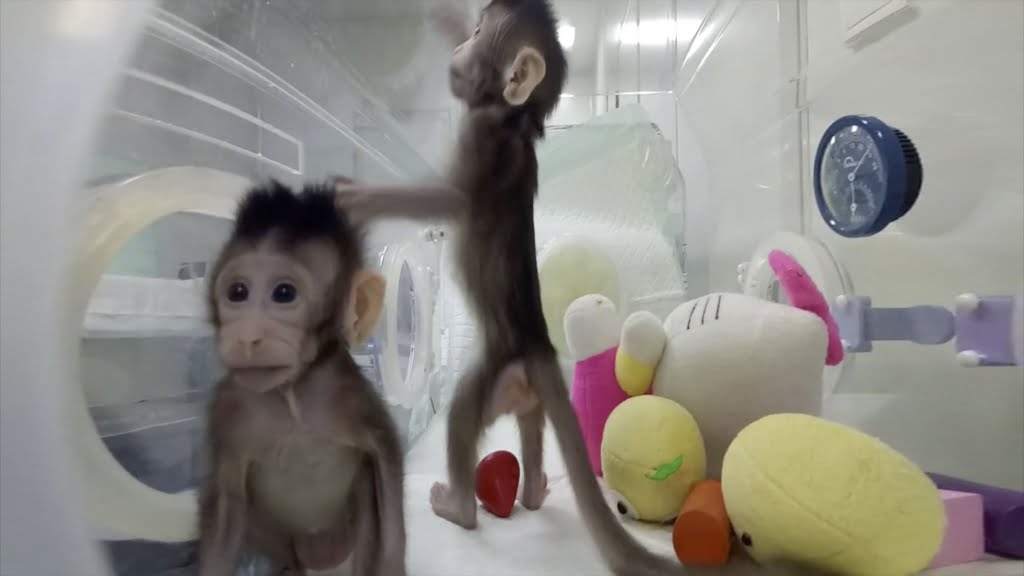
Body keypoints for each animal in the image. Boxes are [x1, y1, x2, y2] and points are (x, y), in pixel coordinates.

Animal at [197, 181, 406, 576]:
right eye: (238, 293)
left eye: (284, 294)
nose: (247, 337)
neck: (292, 393)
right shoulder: (226, 410)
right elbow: (227, 505)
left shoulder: (352, 395)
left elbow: (386, 463)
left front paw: (393, 564)